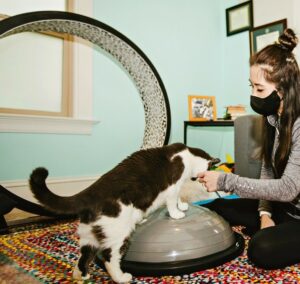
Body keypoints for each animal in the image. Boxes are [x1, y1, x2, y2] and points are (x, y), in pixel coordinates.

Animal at [29, 143, 219, 282]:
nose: (202, 180)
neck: (187, 155)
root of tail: (90, 193)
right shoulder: (172, 186)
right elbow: (172, 200)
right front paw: (177, 213)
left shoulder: (176, 187)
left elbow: (178, 197)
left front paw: (182, 205)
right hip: (118, 233)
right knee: (109, 258)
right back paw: (121, 278)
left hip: (89, 236)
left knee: (84, 256)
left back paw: (81, 275)